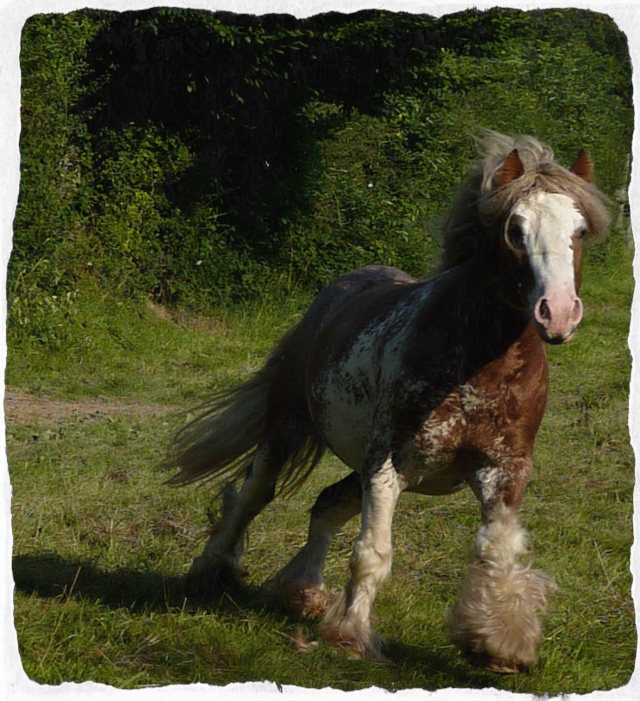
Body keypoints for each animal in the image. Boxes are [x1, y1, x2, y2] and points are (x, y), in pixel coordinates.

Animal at [165, 131, 608, 672]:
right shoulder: (388, 465)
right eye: (515, 230)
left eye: (580, 230)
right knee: (253, 496)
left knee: (327, 504)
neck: (479, 364)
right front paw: (352, 635)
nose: (558, 313)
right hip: (287, 431)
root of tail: (332, 295)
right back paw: (211, 571)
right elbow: (373, 553)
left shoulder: (505, 469)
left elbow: (496, 553)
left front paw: (500, 643)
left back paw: (303, 592)